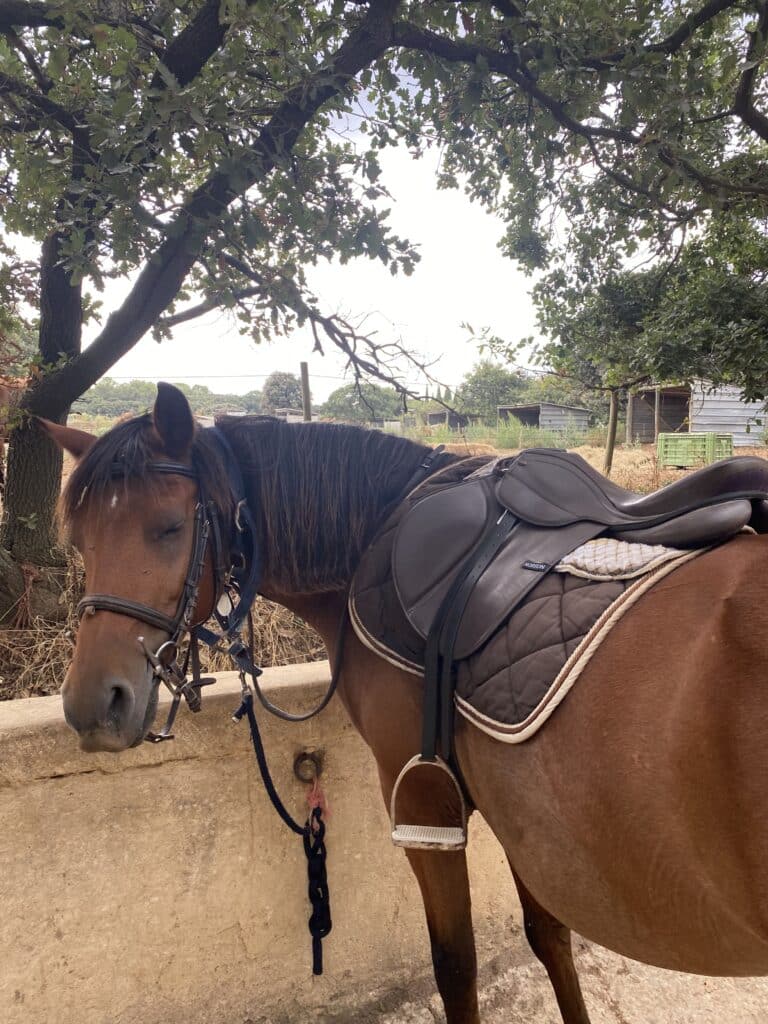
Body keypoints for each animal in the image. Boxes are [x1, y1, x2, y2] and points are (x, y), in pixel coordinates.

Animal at [43, 385, 768, 1024]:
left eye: (168, 529)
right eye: (79, 543)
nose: (93, 706)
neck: (376, 531)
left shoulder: (424, 803)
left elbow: (456, 966)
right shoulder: (519, 809)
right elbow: (549, 938)